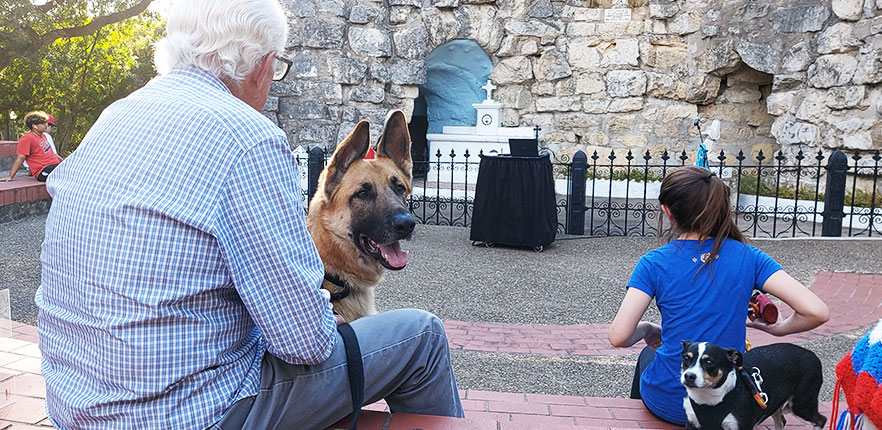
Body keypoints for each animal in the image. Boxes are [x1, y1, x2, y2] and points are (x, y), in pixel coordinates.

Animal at [680, 340, 824, 428]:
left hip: (802, 406)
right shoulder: (692, 423)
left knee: (821, 421)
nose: (689, 376)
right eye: (686, 358)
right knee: (781, 422)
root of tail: (812, 354)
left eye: (709, 362)